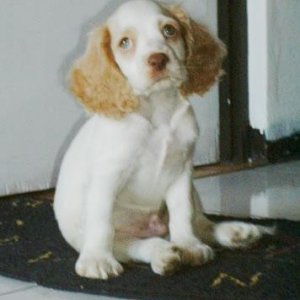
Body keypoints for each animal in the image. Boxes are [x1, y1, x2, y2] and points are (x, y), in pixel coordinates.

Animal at [54, 0, 272, 282]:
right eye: (124, 42)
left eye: (169, 30)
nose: (158, 59)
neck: (158, 113)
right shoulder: (108, 175)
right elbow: (101, 222)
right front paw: (97, 260)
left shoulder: (181, 171)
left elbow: (182, 212)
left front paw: (189, 246)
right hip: (122, 240)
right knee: (135, 245)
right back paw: (164, 254)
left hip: (193, 192)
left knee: (202, 224)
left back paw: (235, 233)